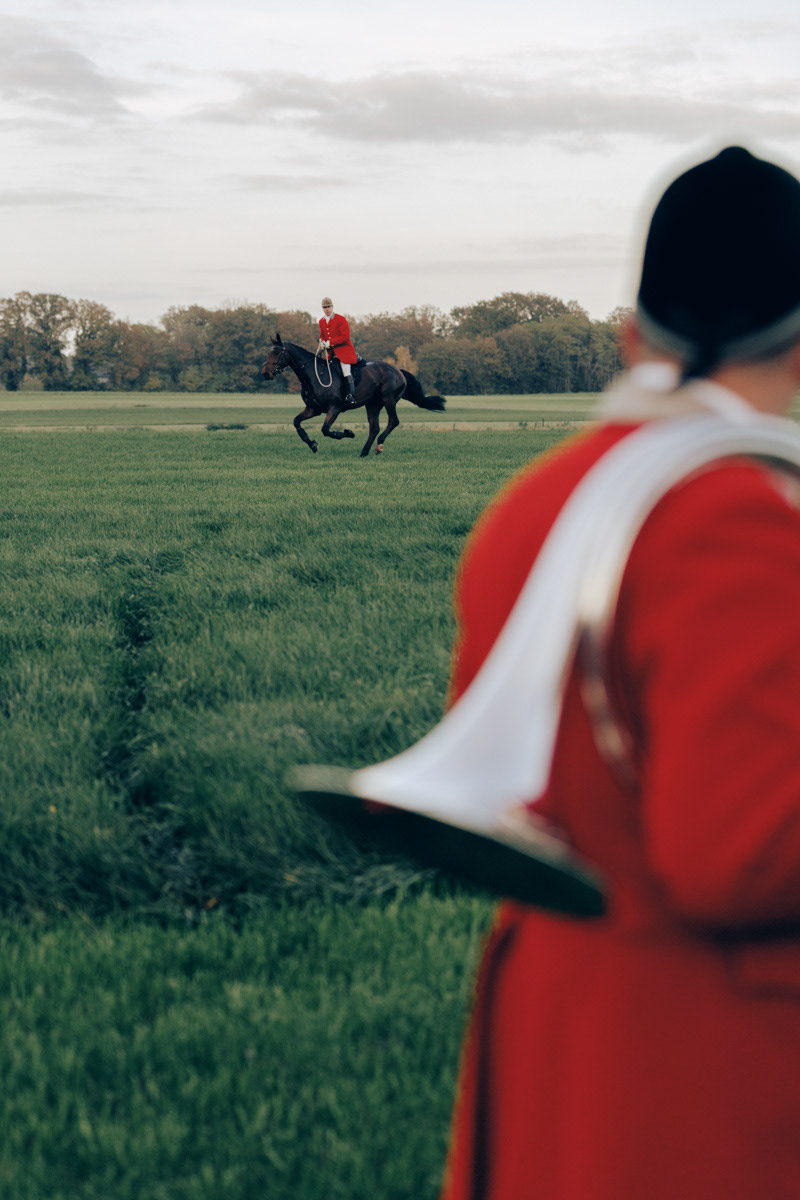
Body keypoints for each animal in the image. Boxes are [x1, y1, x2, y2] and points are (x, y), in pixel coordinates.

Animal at [261, 335, 446, 457]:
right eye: (269, 353)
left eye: (276, 353)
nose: (265, 373)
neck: (314, 374)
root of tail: (398, 370)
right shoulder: (313, 408)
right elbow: (297, 423)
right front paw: (312, 444)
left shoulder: (334, 408)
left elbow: (326, 430)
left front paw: (348, 433)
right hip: (373, 404)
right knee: (374, 427)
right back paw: (364, 452)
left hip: (389, 400)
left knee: (393, 421)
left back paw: (378, 446)